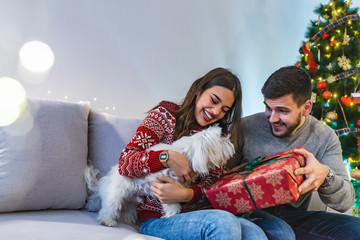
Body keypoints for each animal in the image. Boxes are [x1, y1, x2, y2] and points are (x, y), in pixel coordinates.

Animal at [84, 124, 236, 228]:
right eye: (221, 139)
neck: (189, 154)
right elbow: (171, 205)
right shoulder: (165, 185)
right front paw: (171, 215)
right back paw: (107, 221)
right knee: (108, 209)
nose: (231, 141)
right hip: (116, 195)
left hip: (131, 201)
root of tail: (104, 182)